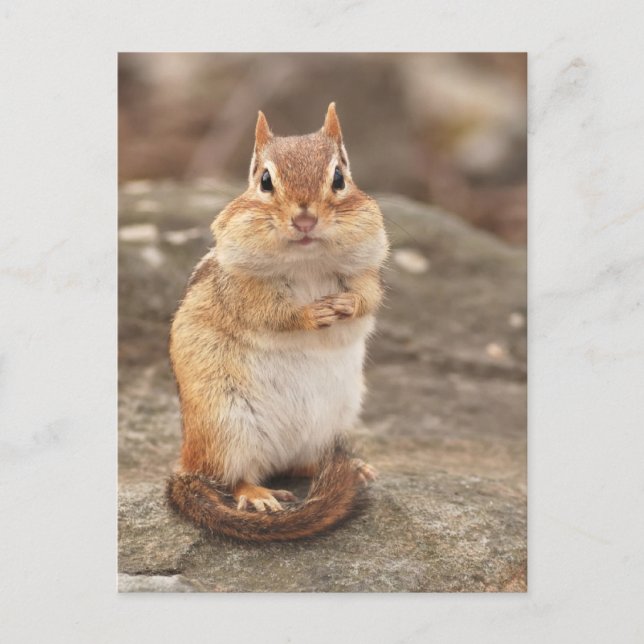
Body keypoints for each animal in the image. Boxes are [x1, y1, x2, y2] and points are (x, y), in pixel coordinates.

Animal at [166, 103, 389, 541]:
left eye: (339, 178)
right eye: (265, 181)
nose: (305, 220)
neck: (307, 262)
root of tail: (188, 464)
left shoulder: (367, 270)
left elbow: (369, 297)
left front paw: (346, 305)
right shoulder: (242, 289)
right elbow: (270, 313)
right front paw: (310, 314)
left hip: (330, 423)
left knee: (304, 464)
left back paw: (351, 467)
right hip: (227, 427)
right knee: (235, 477)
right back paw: (257, 495)